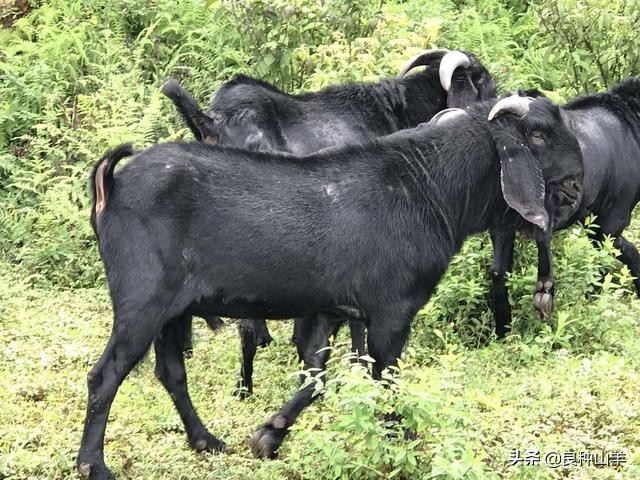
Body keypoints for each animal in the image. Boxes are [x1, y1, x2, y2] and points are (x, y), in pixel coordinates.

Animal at [77, 94, 584, 476]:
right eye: (538, 133)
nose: (580, 179)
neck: (429, 189)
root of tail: (112, 182)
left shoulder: (330, 310)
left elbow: (323, 373)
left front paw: (270, 434)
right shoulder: (392, 312)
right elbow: (384, 379)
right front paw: (404, 442)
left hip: (172, 309)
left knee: (170, 372)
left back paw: (205, 440)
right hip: (143, 300)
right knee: (105, 375)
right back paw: (94, 465)